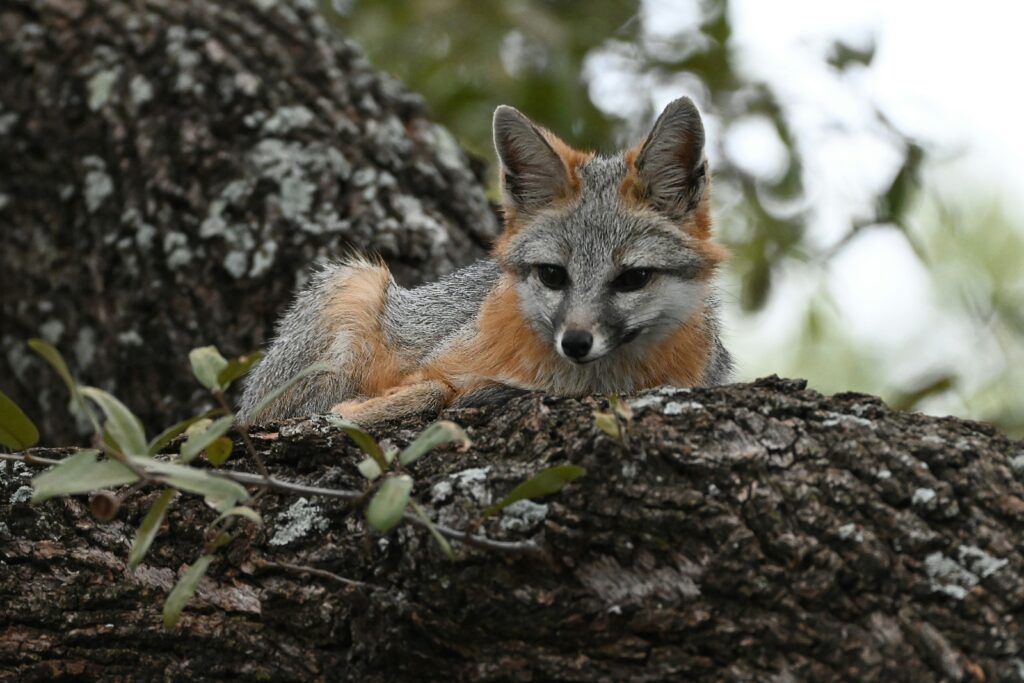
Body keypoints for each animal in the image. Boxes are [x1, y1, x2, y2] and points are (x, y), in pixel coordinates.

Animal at [237, 97, 732, 427]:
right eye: (553, 275)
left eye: (633, 278)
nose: (575, 342)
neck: (583, 382)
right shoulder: (435, 361)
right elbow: (431, 387)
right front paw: (364, 408)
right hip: (356, 285)